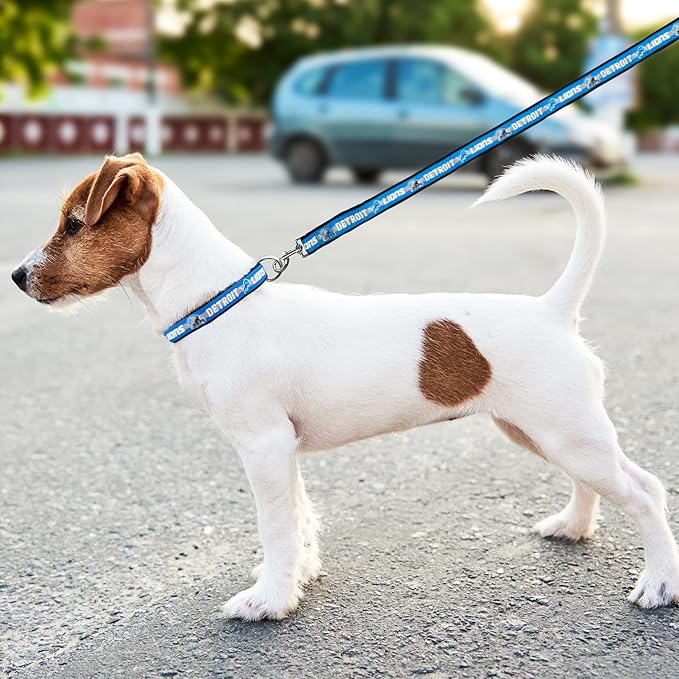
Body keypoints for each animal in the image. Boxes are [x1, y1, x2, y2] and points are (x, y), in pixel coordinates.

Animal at [11, 154, 679, 620]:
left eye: (73, 224)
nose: (16, 277)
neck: (217, 302)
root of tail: (552, 310)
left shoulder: (262, 447)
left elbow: (275, 528)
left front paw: (269, 600)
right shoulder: (282, 450)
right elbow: (300, 516)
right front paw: (299, 577)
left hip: (569, 433)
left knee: (647, 492)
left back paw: (659, 583)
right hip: (541, 431)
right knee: (596, 484)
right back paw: (573, 526)